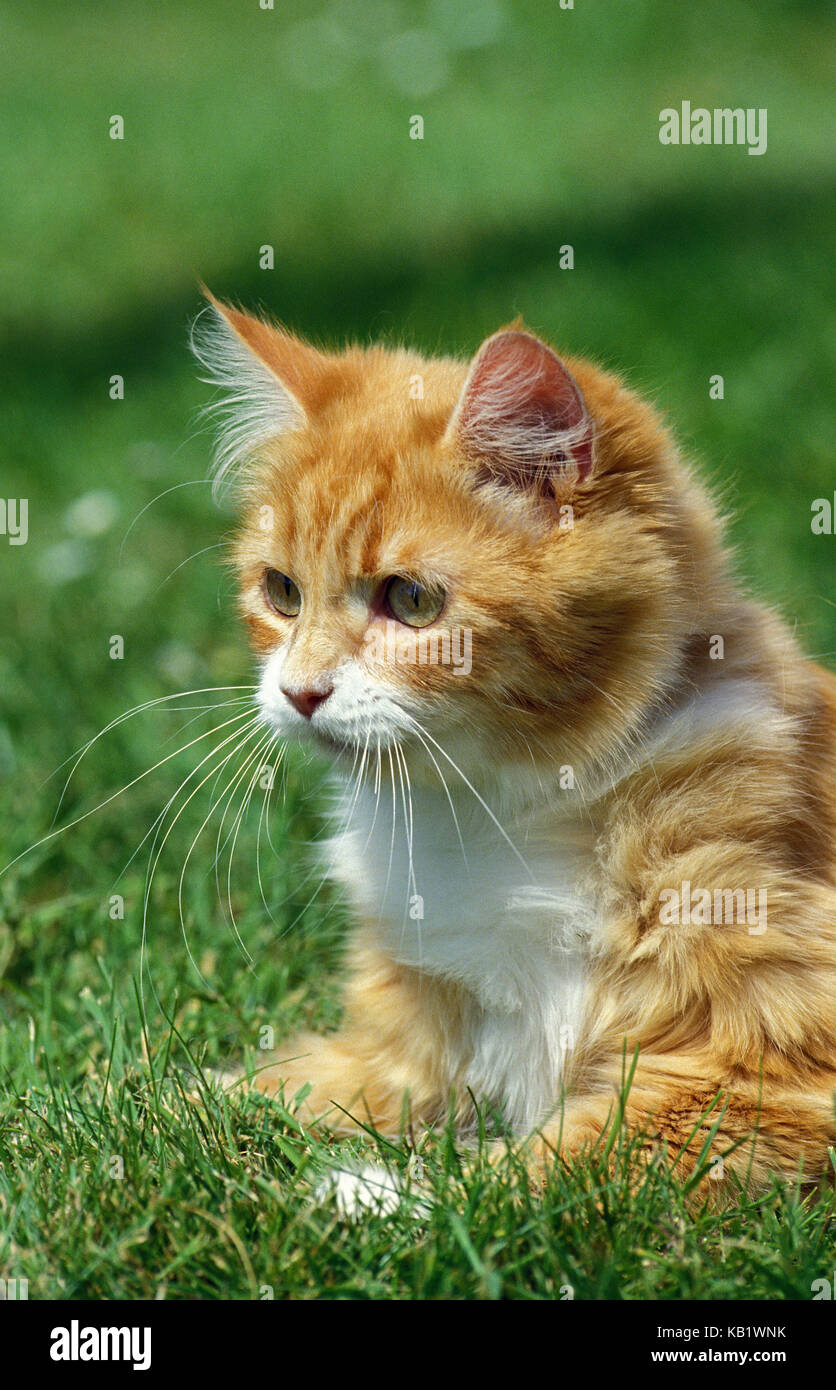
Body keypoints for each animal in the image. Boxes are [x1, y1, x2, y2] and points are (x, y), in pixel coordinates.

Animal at [191, 293, 834, 1195]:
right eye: (281, 592)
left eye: (411, 601)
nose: (300, 694)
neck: (493, 814)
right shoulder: (405, 1047)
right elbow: (257, 1091)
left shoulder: (768, 1076)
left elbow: (539, 1171)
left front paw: (376, 1192)